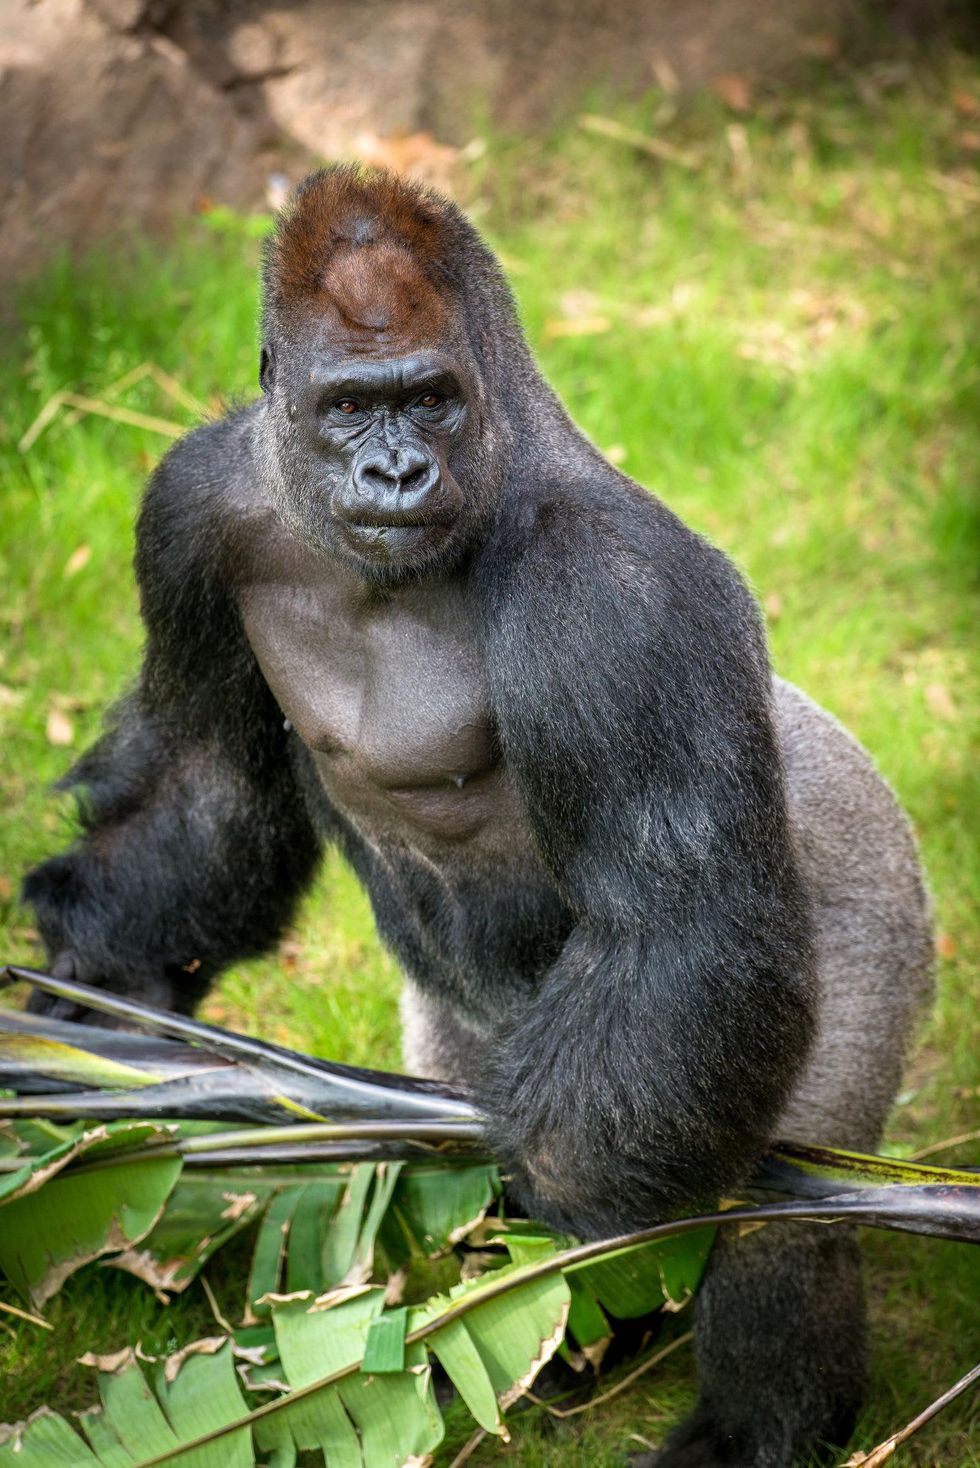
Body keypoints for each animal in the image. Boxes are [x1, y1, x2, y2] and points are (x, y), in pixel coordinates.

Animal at [22, 167, 933, 1466]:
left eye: (431, 400)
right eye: (351, 407)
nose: (394, 475)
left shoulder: (616, 590)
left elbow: (673, 917)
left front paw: (550, 1185)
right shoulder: (195, 502)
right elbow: (206, 786)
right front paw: (98, 984)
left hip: (867, 913)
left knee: (778, 1214)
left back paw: (747, 1420)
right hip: (473, 1028)